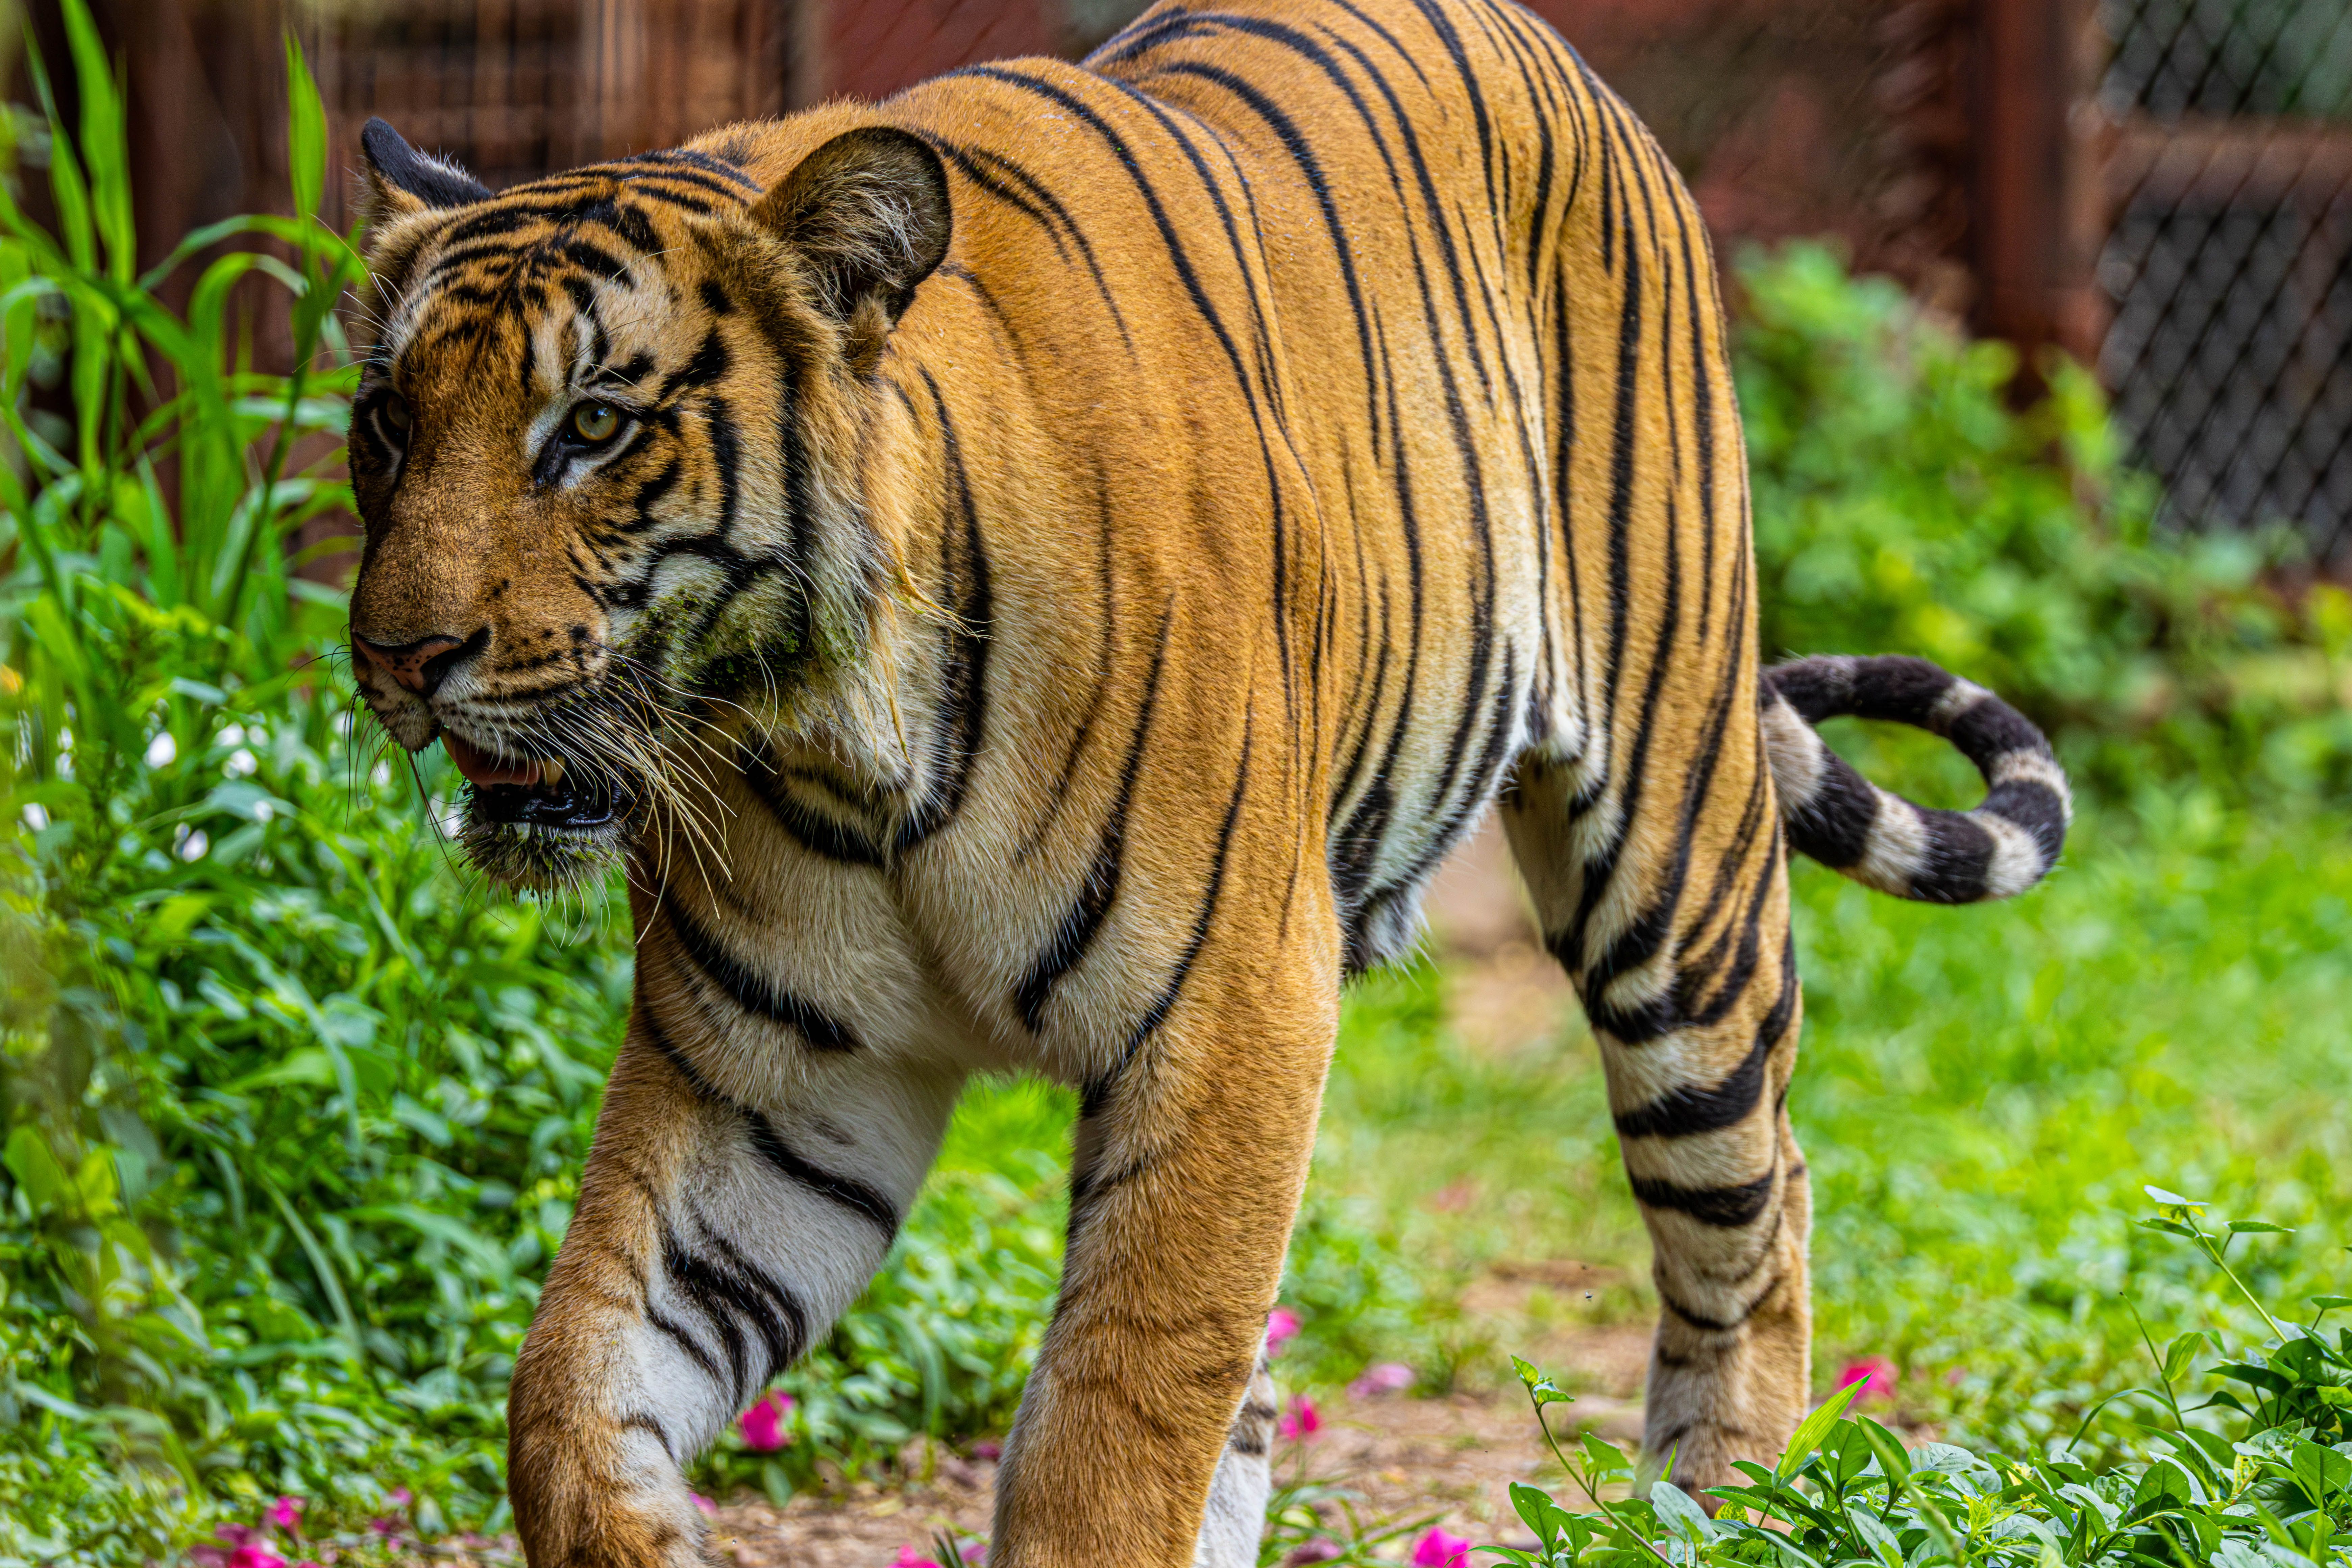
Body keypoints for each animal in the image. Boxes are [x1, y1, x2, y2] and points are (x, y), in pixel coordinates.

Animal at [342, 0, 2071, 1561]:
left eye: (592, 427)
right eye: (388, 426)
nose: (401, 656)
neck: (840, 740)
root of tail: (1564, 58)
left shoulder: (1231, 1016)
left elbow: (1110, 1439)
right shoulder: (774, 1074)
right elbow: (570, 1380)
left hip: (1676, 863)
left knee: (1754, 1217)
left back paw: (1716, 1516)